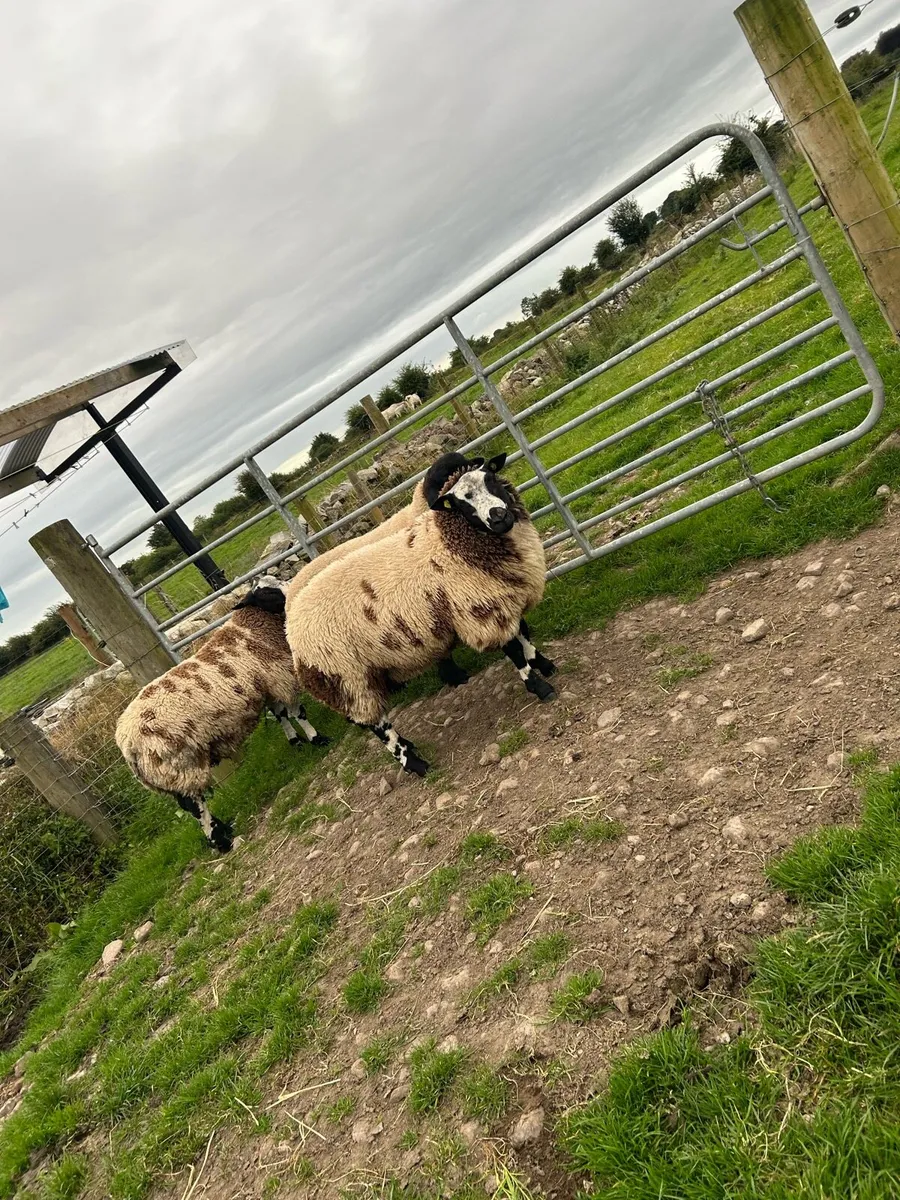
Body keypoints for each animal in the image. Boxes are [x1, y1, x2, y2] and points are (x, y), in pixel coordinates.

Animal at [115, 586, 328, 851]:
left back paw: (224, 830)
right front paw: (317, 739)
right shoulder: (281, 679)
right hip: (183, 766)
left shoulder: (267, 685)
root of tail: (126, 744)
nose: (293, 592)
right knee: (196, 807)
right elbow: (297, 712)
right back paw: (222, 841)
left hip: (169, 775)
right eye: (268, 593)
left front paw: (296, 742)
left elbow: (280, 715)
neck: (249, 630)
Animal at [285, 452, 556, 776]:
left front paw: (544, 664)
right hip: (348, 678)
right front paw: (540, 686)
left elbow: (524, 634)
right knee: (376, 726)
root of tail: (292, 627)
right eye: (461, 504)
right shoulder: (479, 609)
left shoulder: (504, 596)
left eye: (490, 477)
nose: (498, 517)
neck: (449, 539)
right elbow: (515, 650)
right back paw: (413, 762)